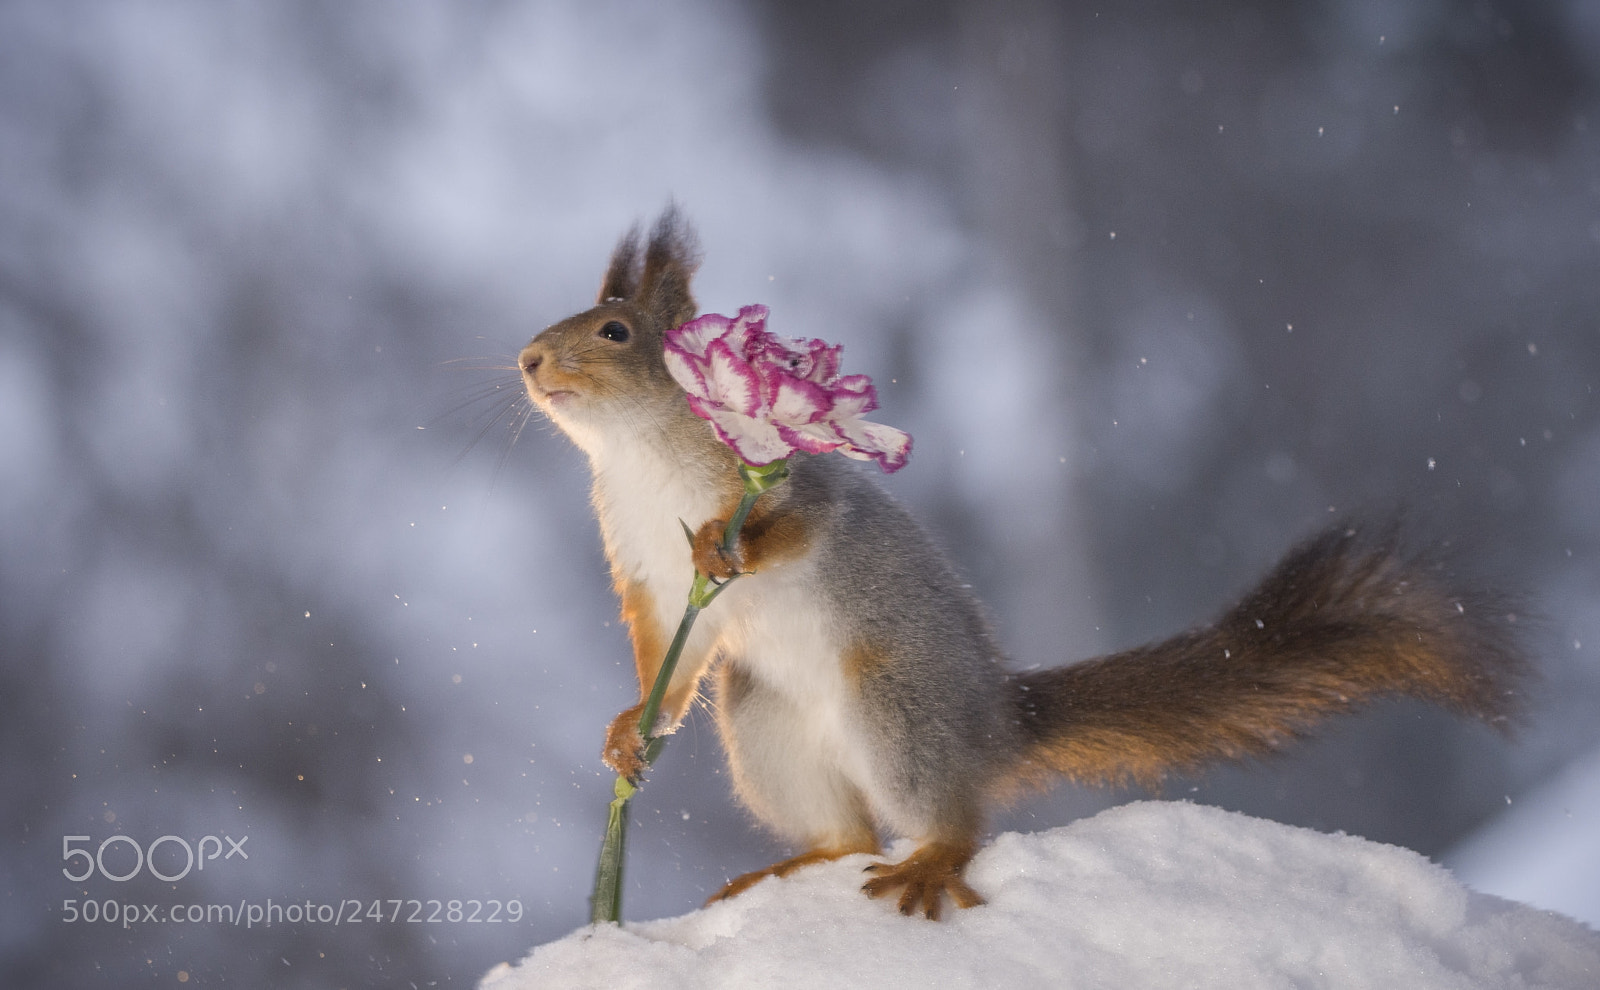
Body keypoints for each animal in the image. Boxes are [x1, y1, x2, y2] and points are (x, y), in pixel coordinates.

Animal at [517, 207, 1529, 920]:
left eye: (613, 333)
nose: (527, 359)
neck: (640, 456)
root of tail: (995, 727)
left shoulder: (793, 482)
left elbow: (797, 528)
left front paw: (729, 549)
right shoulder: (645, 573)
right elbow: (669, 656)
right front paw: (631, 732)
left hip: (898, 705)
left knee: (950, 820)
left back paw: (930, 860)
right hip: (766, 723)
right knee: (849, 833)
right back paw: (791, 864)